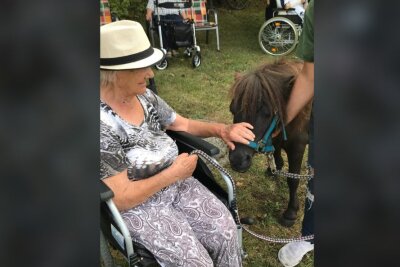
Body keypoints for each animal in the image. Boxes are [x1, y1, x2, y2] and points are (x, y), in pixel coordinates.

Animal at [228, 59, 312, 227]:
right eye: (232, 109)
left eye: (266, 113)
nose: (237, 160)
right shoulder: (275, 137)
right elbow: (276, 156)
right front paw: (273, 169)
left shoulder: (297, 147)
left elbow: (293, 179)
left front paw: (291, 212)